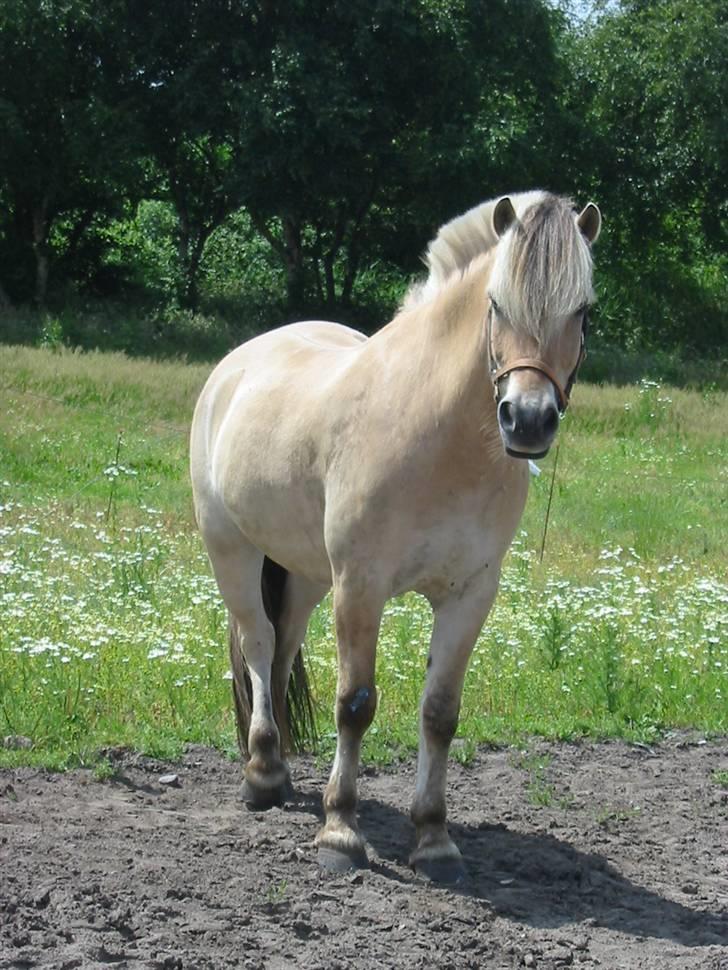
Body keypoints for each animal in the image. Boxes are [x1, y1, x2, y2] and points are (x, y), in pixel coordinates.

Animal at [189, 189, 604, 876]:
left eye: (583, 311)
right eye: (497, 303)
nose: (528, 420)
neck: (439, 435)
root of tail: (237, 364)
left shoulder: (470, 595)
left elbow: (440, 713)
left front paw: (433, 836)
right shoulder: (361, 586)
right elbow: (355, 703)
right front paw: (339, 832)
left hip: (306, 572)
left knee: (282, 647)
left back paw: (280, 769)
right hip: (234, 551)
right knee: (257, 644)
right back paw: (261, 773)